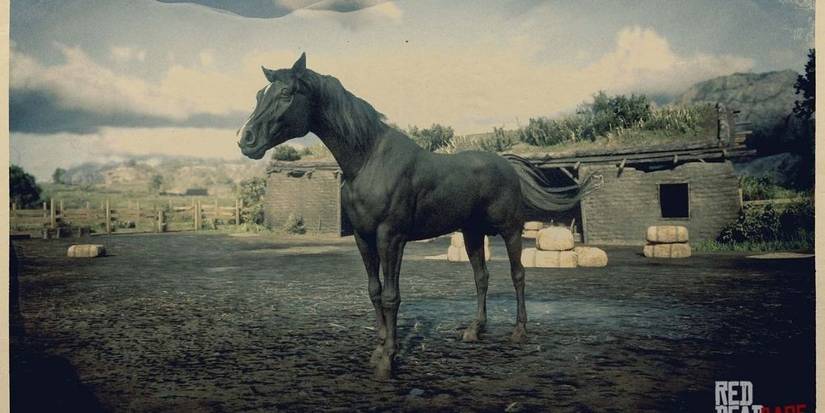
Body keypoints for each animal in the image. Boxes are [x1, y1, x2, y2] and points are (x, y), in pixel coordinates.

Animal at [237, 53, 599, 380]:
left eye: (286, 93)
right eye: (258, 95)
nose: (246, 139)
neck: (368, 160)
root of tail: (506, 164)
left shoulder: (391, 238)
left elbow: (391, 296)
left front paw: (388, 359)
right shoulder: (363, 238)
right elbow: (374, 290)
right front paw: (378, 349)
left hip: (510, 231)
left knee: (518, 275)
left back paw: (519, 332)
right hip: (472, 233)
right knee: (481, 278)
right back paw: (474, 330)